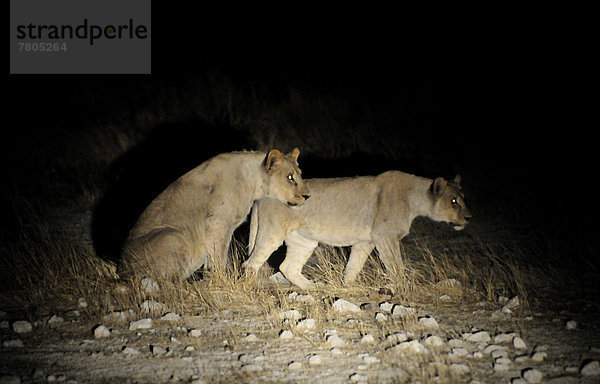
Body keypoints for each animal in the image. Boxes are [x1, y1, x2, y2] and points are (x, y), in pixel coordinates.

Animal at [119, 148, 312, 280]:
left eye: (300, 175)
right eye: (290, 177)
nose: (307, 196)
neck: (253, 180)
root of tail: (122, 268)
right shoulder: (218, 223)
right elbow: (218, 255)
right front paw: (221, 280)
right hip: (174, 236)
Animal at [241, 171, 472, 288]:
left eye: (462, 198)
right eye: (453, 201)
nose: (469, 218)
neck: (415, 200)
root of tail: (261, 197)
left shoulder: (367, 240)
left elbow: (354, 266)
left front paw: (347, 286)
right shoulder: (385, 236)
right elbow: (396, 265)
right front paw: (404, 287)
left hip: (304, 240)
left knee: (288, 266)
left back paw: (314, 288)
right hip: (272, 233)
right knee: (251, 263)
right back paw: (253, 288)